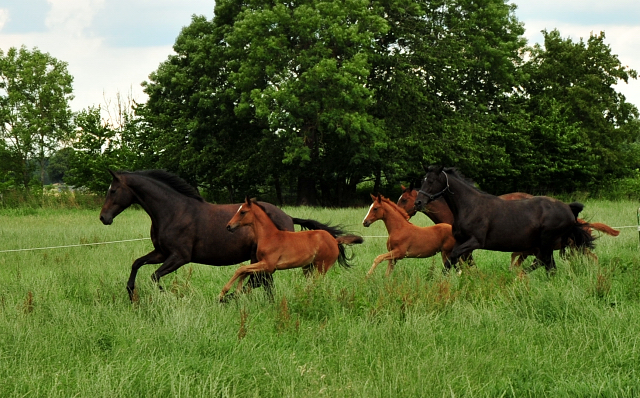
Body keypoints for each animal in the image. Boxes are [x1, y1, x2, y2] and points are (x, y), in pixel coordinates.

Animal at [99, 169, 328, 300]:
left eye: (113, 191)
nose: (103, 217)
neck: (173, 211)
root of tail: (288, 216)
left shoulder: (180, 257)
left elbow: (155, 276)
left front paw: (169, 298)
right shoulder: (162, 253)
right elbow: (137, 264)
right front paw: (131, 293)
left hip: (261, 259)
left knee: (259, 281)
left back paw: (231, 299)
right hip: (260, 259)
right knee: (263, 282)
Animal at [220, 197, 362, 302]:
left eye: (242, 212)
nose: (228, 226)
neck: (269, 236)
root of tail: (335, 240)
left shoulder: (268, 266)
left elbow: (241, 269)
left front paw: (223, 292)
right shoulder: (261, 264)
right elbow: (244, 271)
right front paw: (237, 291)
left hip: (320, 267)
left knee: (317, 284)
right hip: (308, 268)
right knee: (311, 285)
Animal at [412, 166, 592, 272]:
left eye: (432, 181)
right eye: (423, 180)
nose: (418, 202)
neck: (470, 206)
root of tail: (568, 208)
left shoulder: (475, 241)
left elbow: (454, 257)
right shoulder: (460, 241)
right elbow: (453, 260)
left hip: (546, 242)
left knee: (547, 265)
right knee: (547, 265)